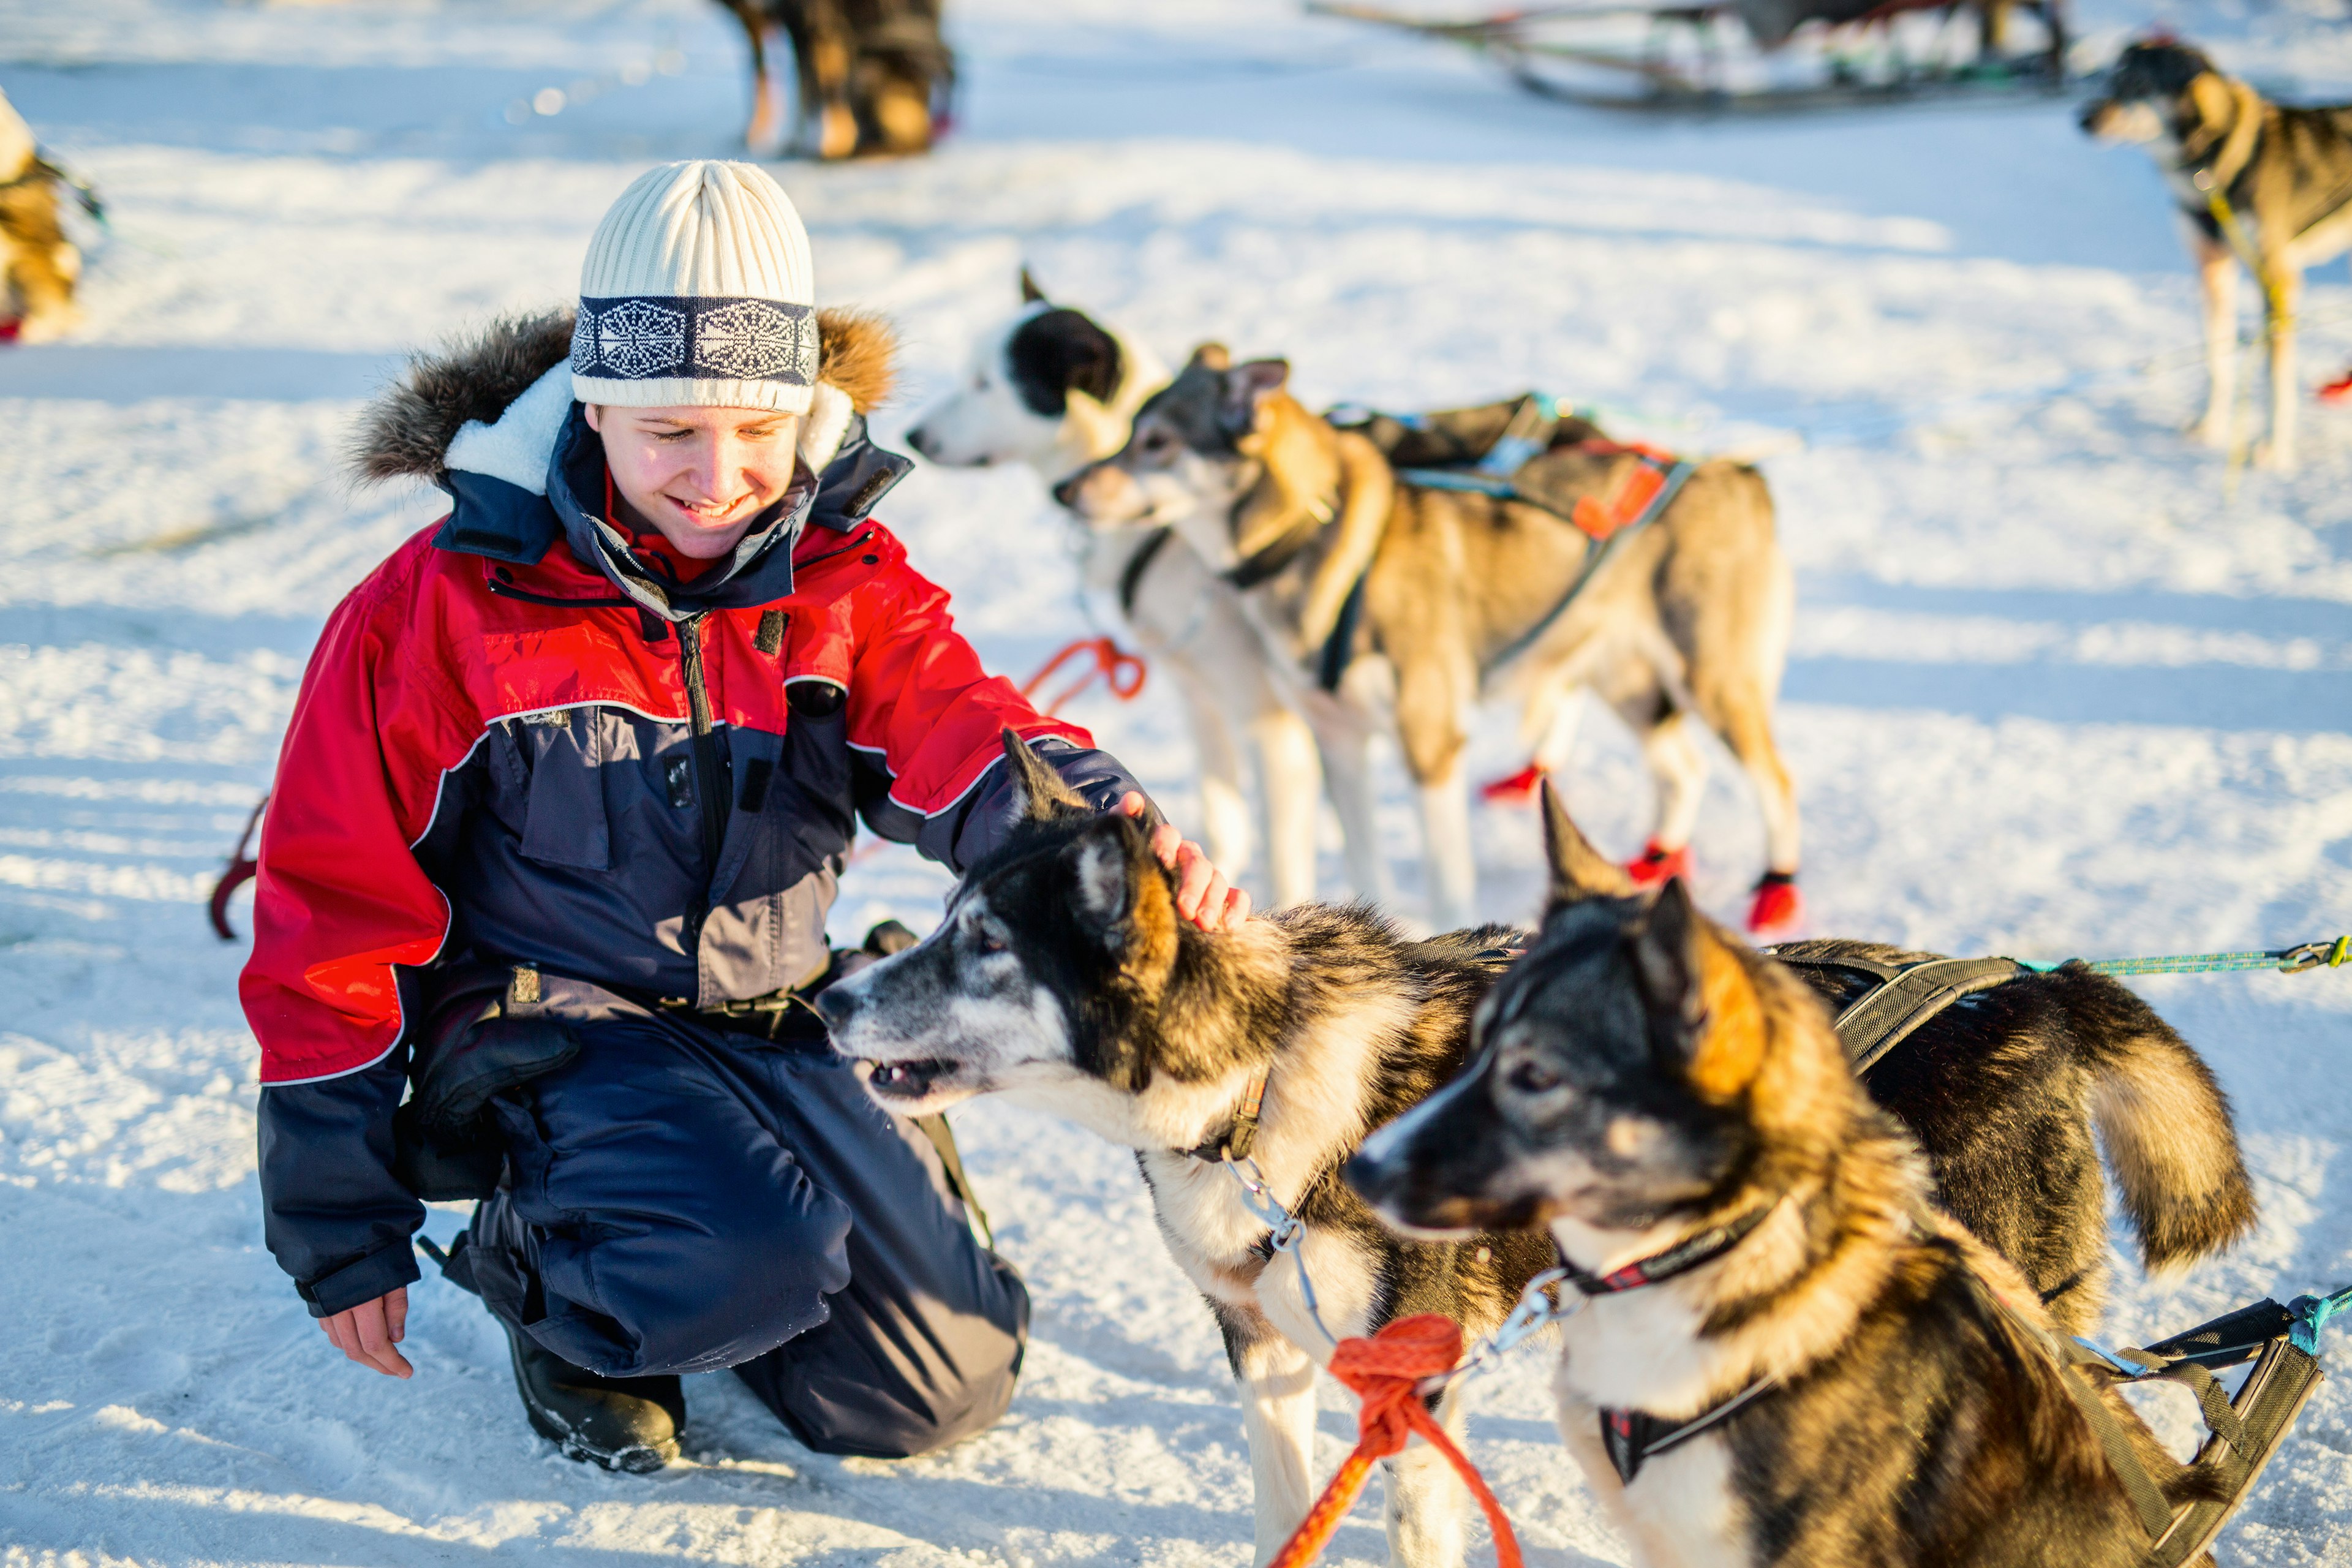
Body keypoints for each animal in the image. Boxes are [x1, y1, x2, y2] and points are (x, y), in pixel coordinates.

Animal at [1063, 350, 1796, 940]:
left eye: (1157, 441)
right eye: (1129, 432)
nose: (1067, 489)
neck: (1316, 538)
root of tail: (1734, 474)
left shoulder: (1431, 744)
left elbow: (1447, 878)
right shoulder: (1337, 741)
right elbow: (1363, 855)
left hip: (1709, 682)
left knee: (1774, 782)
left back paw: (1776, 893)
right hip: (1630, 682)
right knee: (1682, 769)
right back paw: (1651, 862)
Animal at [2088, 40, 2352, 470]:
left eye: (2140, 85)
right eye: (2111, 80)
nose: (2083, 118)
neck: (2214, 169)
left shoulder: (2276, 281)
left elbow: (2275, 381)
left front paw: (2274, 450)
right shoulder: (2212, 270)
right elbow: (2217, 359)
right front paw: (2209, 425)